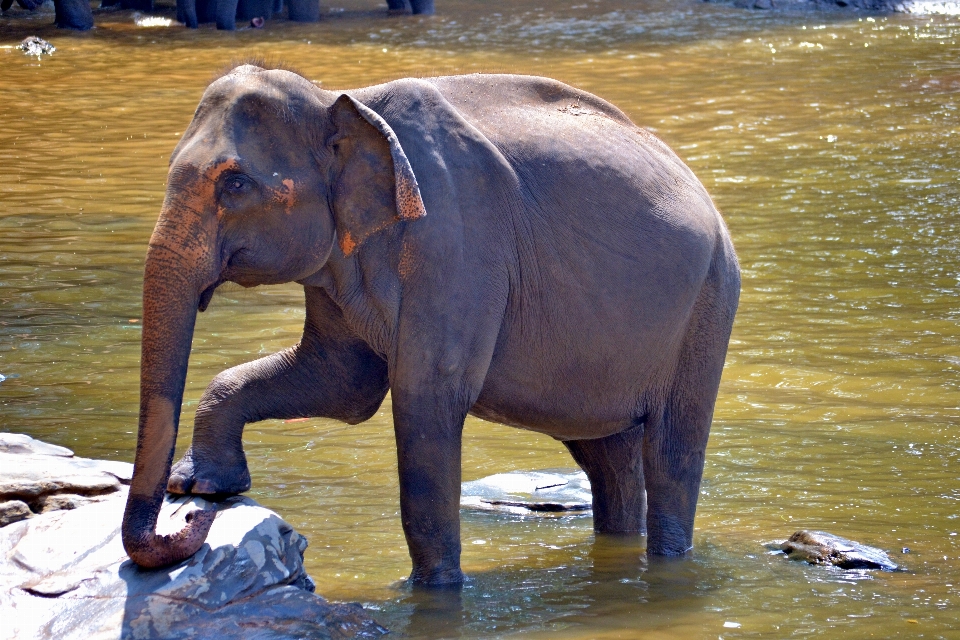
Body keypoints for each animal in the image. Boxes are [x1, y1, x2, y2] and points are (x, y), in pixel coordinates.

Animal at [122, 65, 744, 584]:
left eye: (235, 184)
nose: (189, 523)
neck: (340, 98)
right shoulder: (340, 256)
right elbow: (340, 383)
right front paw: (203, 484)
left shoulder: (456, 243)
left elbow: (425, 395)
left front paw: (432, 592)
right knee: (607, 456)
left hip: (709, 306)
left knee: (671, 453)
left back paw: (668, 560)